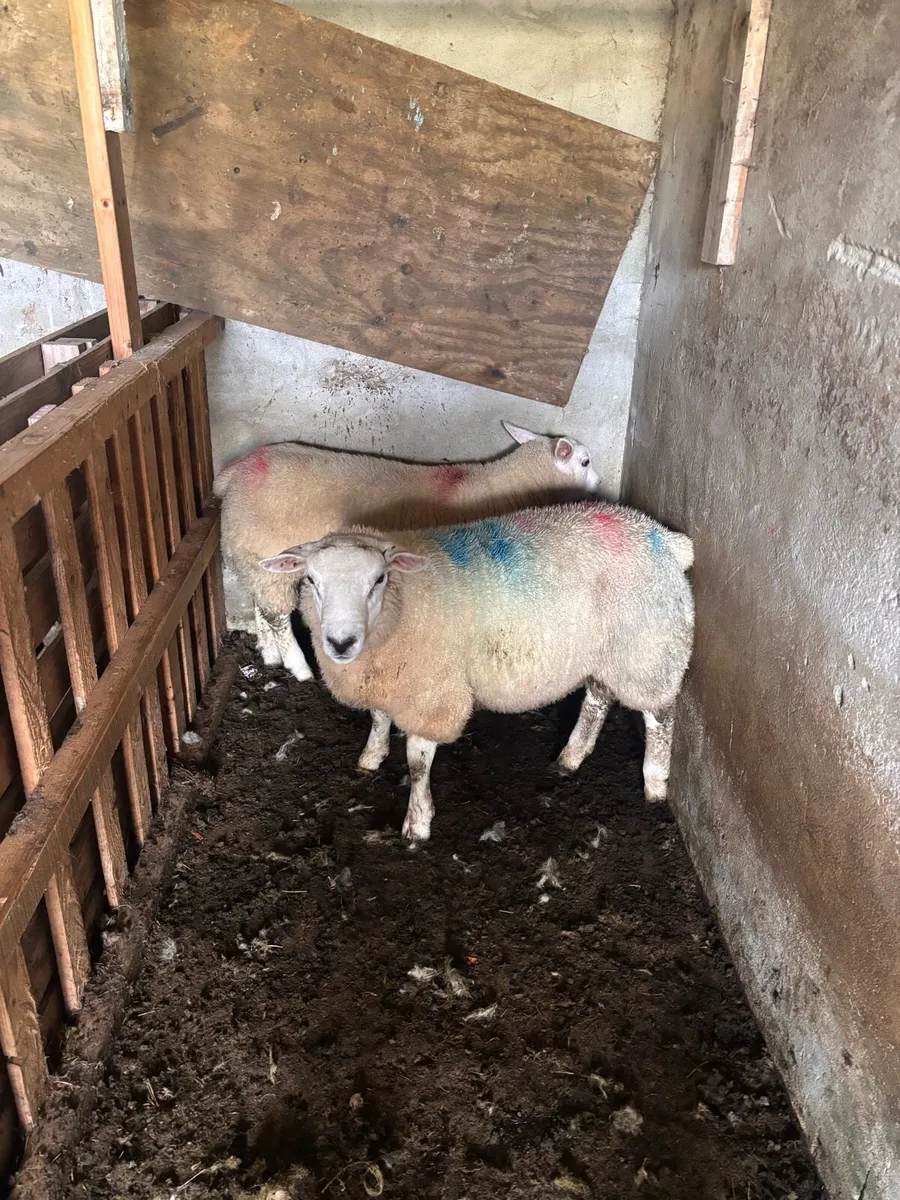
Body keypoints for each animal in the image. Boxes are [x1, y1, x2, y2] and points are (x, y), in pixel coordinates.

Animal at [214, 422, 600, 770]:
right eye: (584, 461)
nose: (598, 486)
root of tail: (234, 471)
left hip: (255, 557)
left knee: (260, 605)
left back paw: (269, 653)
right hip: (267, 550)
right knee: (278, 614)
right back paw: (299, 667)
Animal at [260, 502, 695, 841]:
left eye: (379, 578)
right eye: (311, 579)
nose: (341, 643)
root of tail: (665, 537)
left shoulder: (432, 692)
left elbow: (417, 763)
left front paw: (417, 823)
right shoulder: (389, 681)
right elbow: (380, 718)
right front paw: (371, 757)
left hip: (650, 649)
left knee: (660, 715)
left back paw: (655, 784)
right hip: (607, 651)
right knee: (598, 697)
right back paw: (571, 757)